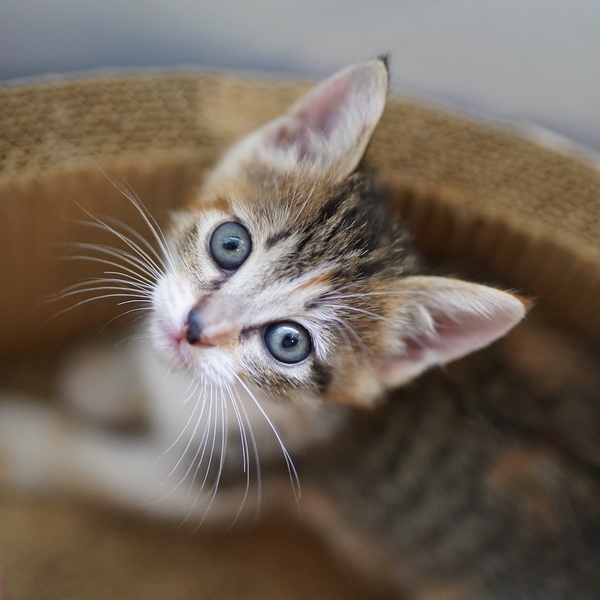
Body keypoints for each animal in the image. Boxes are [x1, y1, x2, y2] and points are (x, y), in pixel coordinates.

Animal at [1, 58, 599, 599]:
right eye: (230, 243)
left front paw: (22, 444)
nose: (195, 328)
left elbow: (91, 464)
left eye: (289, 343)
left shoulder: (228, 479)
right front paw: (103, 376)